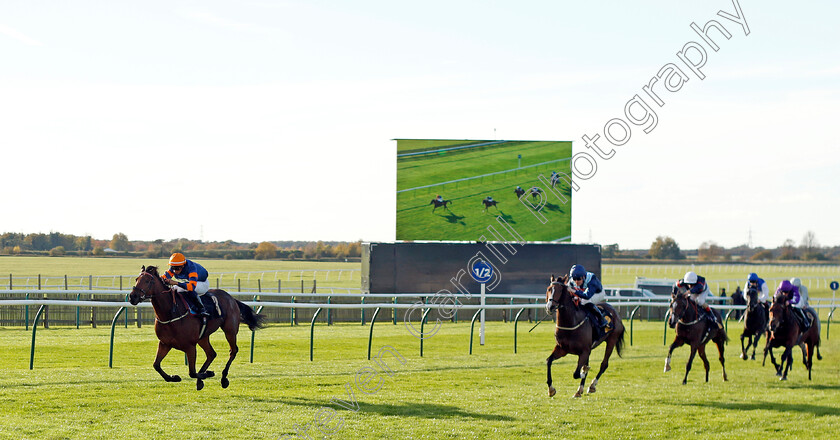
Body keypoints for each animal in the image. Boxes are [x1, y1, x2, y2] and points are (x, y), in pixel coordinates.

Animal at [127, 266, 266, 390]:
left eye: (147, 281)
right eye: (136, 279)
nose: (132, 296)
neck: (171, 313)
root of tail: (231, 298)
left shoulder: (190, 346)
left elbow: (192, 372)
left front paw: (208, 373)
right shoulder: (164, 343)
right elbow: (156, 365)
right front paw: (174, 377)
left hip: (230, 330)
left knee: (233, 350)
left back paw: (223, 378)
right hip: (203, 337)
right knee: (211, 354)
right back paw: (201, 380)